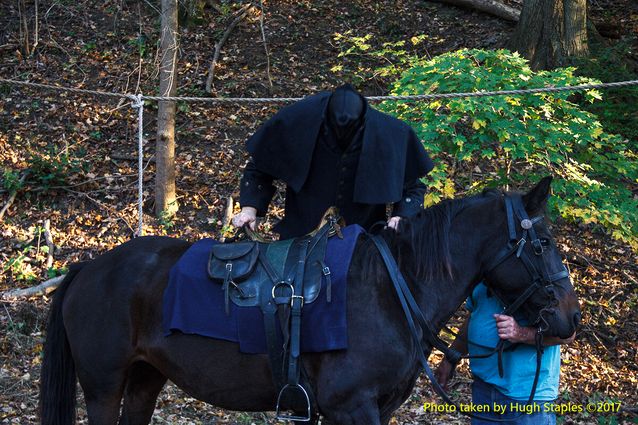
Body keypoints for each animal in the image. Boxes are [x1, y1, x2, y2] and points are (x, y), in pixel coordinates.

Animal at [38, 176, 580, 424]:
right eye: (543, 243)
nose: (569, 317)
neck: (389, 290)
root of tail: (89, 268)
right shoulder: (352, 407)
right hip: (103, 387)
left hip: (145, 380)